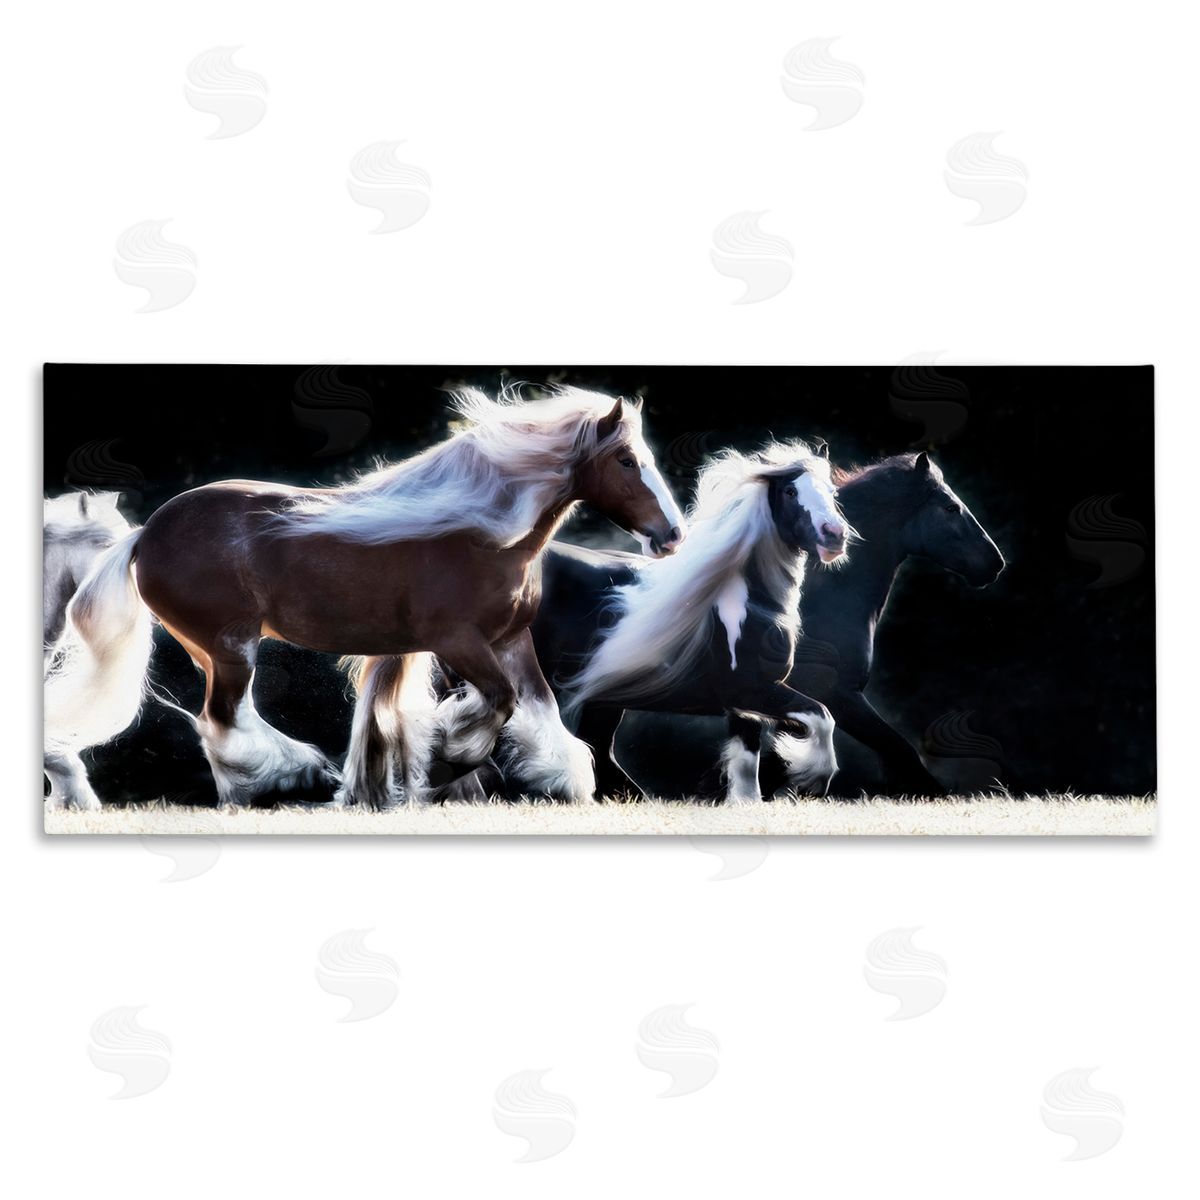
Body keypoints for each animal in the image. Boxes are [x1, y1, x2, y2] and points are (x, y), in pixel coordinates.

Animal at [484, 440, 850, 802]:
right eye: (790, 491)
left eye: (832, 491)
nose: (834, 535)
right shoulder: (750, 691)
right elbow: (822, 716)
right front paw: (813, 779)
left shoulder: (746, 707)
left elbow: (748, 768)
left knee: (597, 749)